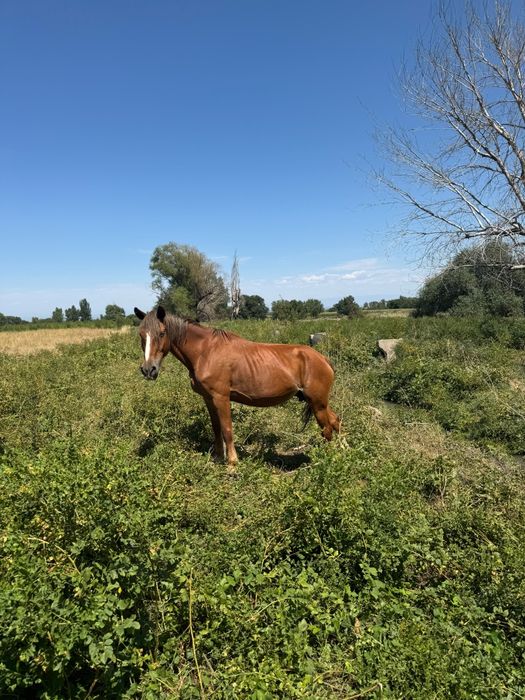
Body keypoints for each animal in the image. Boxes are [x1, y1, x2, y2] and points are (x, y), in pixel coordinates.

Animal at [134, 306, 340, 467]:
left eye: (162, 333)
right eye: (141, 335)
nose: (148, 369)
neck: (205, 352)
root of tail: (322, 358)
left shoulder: (221, 397)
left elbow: (227, 429)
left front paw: (232, 463)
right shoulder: (208, 398)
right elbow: (216, 428)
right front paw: (218, 458)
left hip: (317, 402)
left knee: (326, 429)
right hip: (318, 402)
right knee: (335, 421)